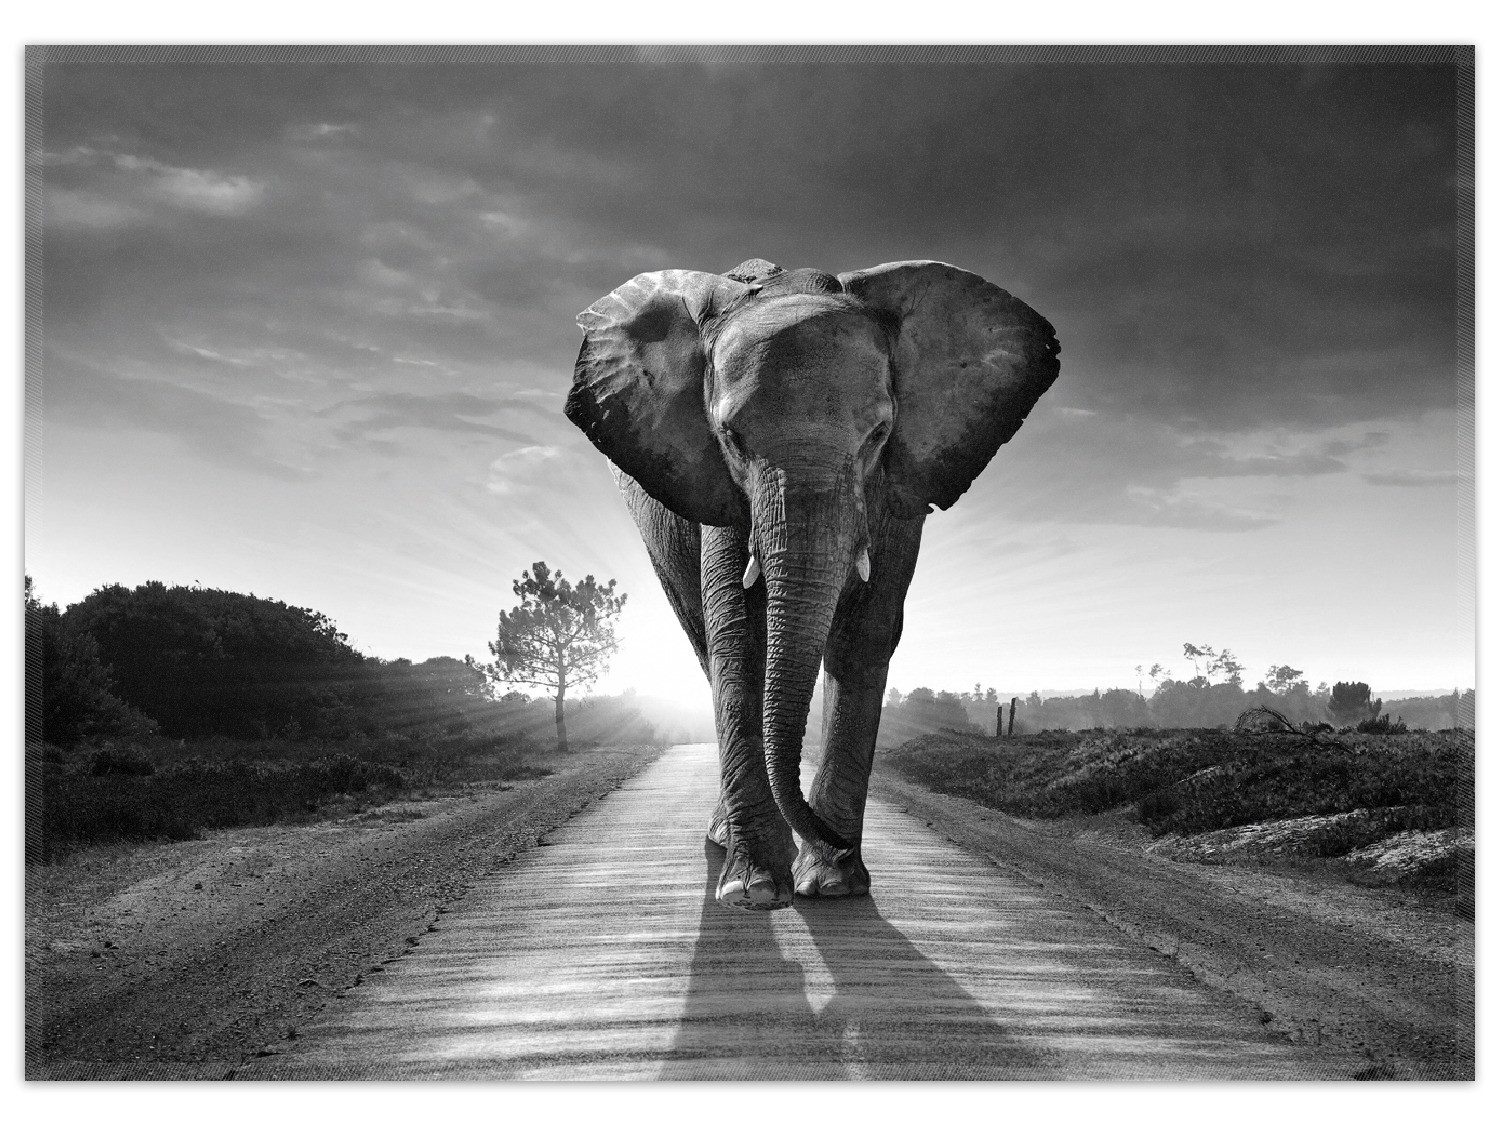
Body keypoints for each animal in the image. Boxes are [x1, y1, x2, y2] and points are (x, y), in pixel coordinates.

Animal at [566, 258, 1059, 910]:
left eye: (878, 434)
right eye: (731, 437)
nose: (836, 842)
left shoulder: (896, 489)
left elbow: (865, 634)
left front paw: (834, 883)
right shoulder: (719, 491)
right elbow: (738, 637)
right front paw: (754, 889)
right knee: (703, 642)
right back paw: (726, 841)